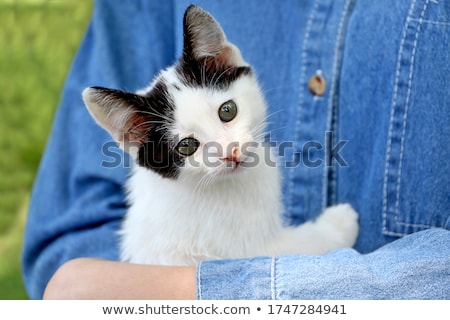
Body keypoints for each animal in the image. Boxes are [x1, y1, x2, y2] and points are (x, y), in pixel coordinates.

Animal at [81, 5, 358, 264]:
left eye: (227, 110)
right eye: (186, 146)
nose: (230, 152)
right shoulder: (248, 249)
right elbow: (302, 246)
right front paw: (339, 222)